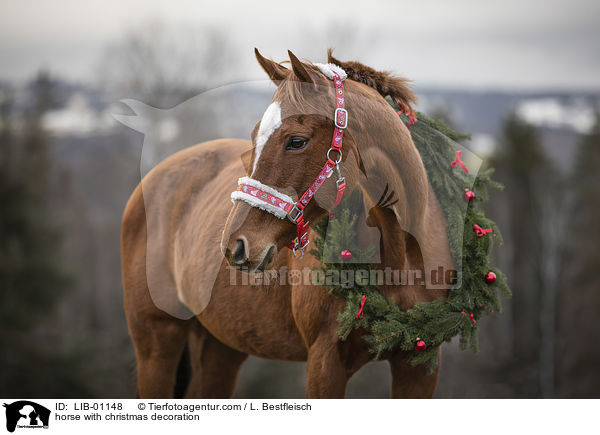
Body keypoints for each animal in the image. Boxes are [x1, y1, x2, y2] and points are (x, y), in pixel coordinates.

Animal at [120, 48, 450, 398]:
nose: (235, 245)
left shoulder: (420, 365)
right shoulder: (325, 362)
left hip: (221, 347)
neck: (400, 256)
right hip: (157, 345)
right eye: (255, 135)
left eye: (297, 141)